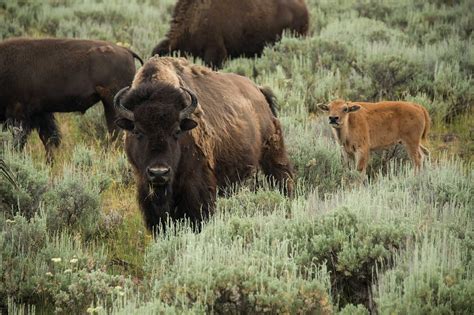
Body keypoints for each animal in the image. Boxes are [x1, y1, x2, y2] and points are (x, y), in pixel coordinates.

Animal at [0, 38, 143, 162]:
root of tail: (126, 51)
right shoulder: (40, 113)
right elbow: (48, 139)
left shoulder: (19, 113)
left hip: (112, 104)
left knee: (115, 132)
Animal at [113, 56, 294, 233]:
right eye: (137, 131)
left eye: (176, 131)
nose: (159, 173)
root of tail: (260, 92)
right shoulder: (144, 184)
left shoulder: (196, 185)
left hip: (273, 160)